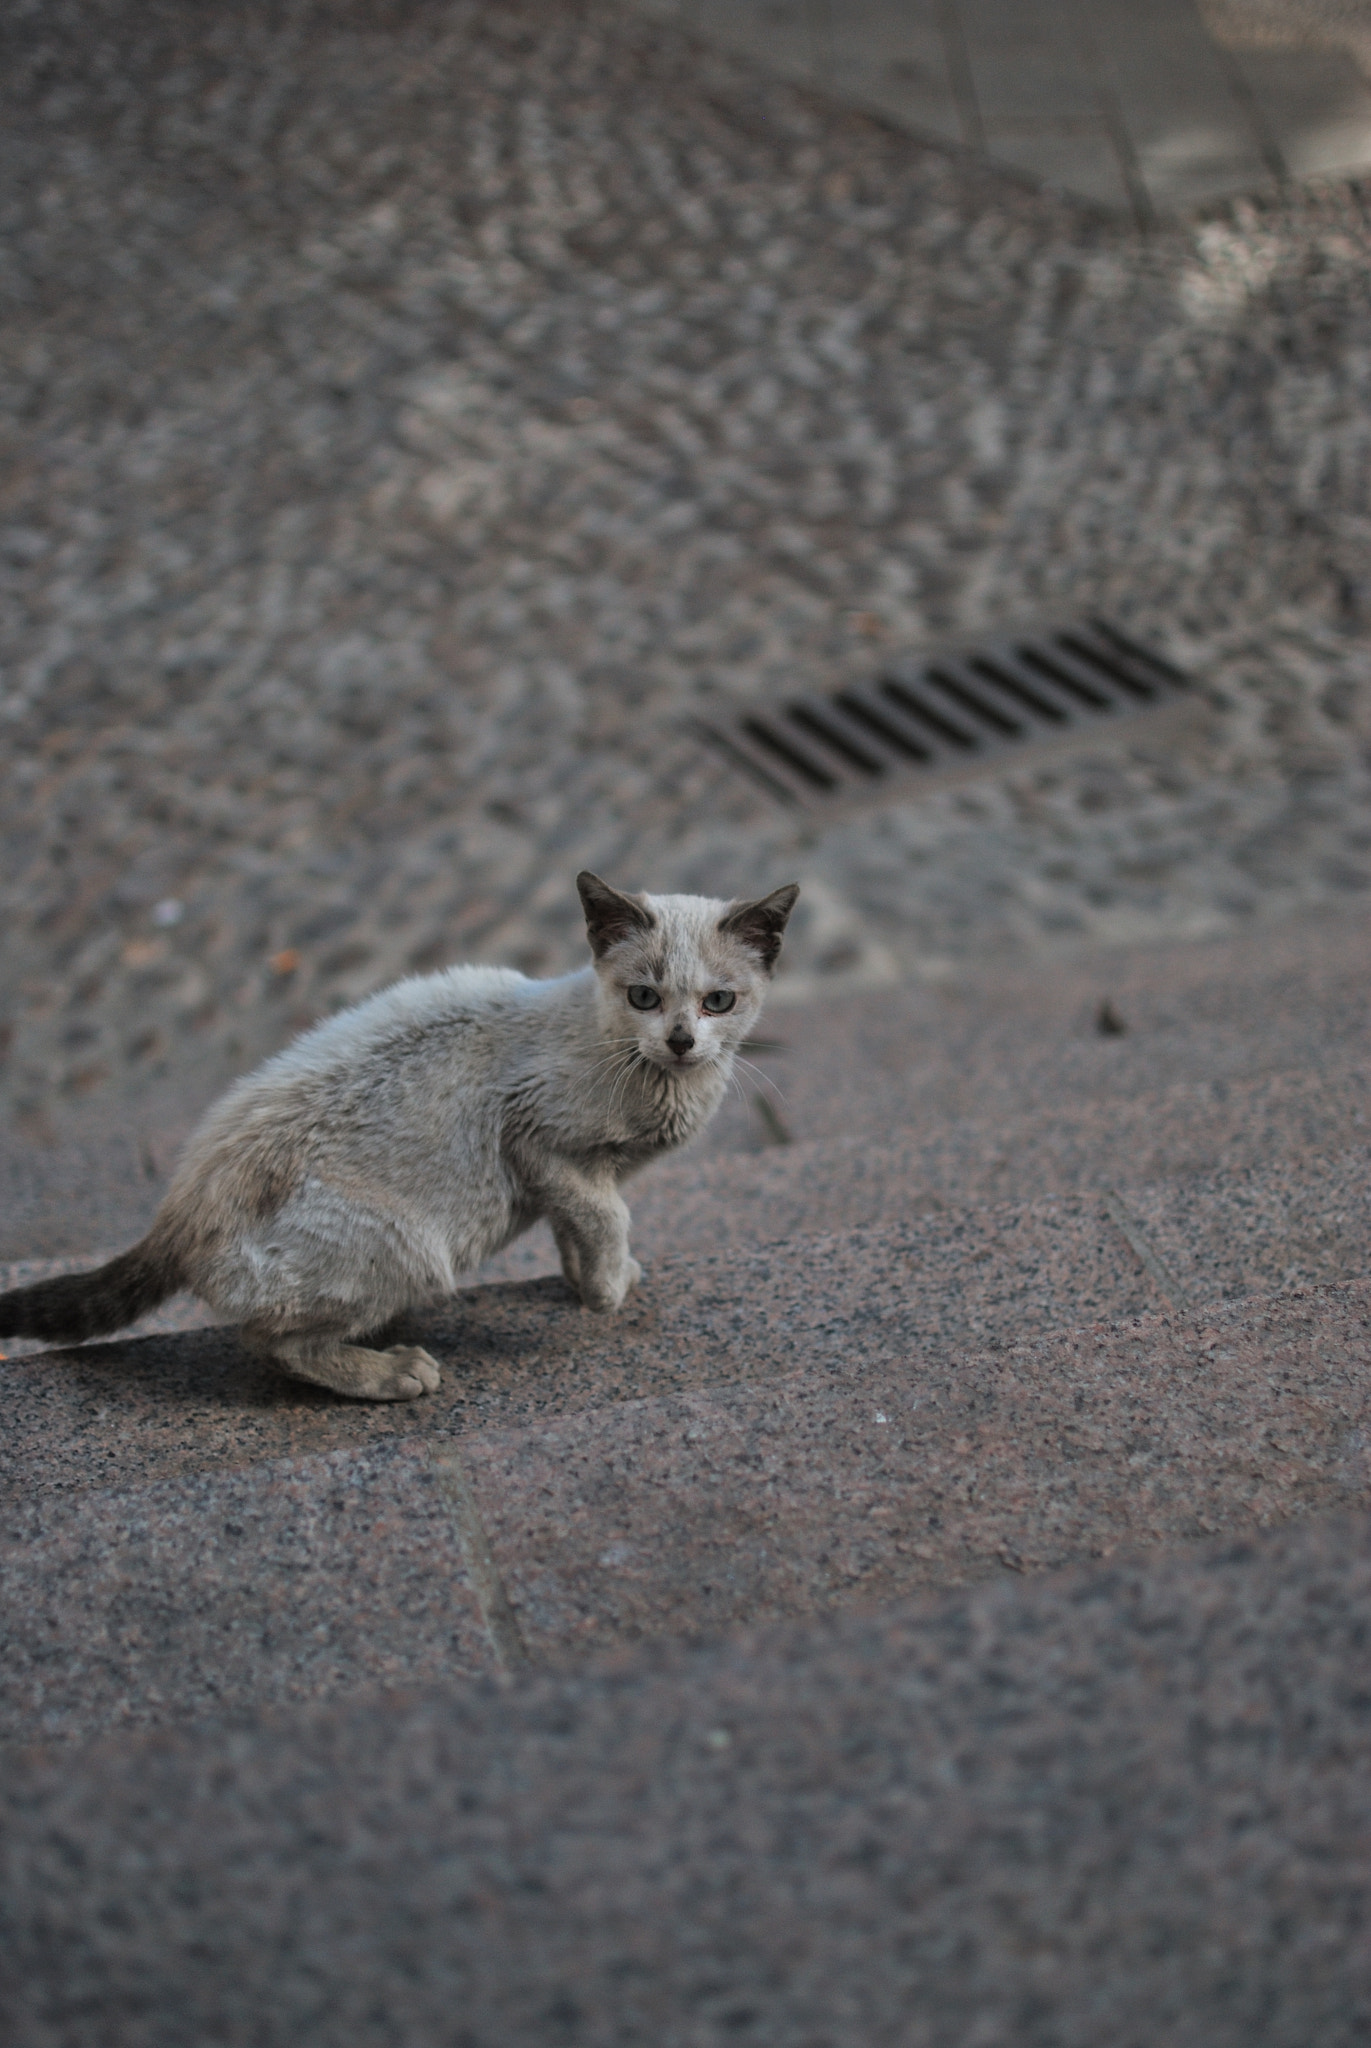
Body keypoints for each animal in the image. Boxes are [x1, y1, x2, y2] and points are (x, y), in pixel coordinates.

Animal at [0, 872, 795, 1400]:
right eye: (643, 996)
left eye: (718, 1001)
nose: (682, 1039)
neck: (659, 1087)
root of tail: (179, 1210)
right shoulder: (534, 1135)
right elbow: (606, 1216)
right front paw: (605, 1293)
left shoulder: (576, 1171)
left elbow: (576, 1225)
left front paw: (592, 1279)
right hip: (411, 1249)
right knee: (267, 1340)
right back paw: (391, 1373)